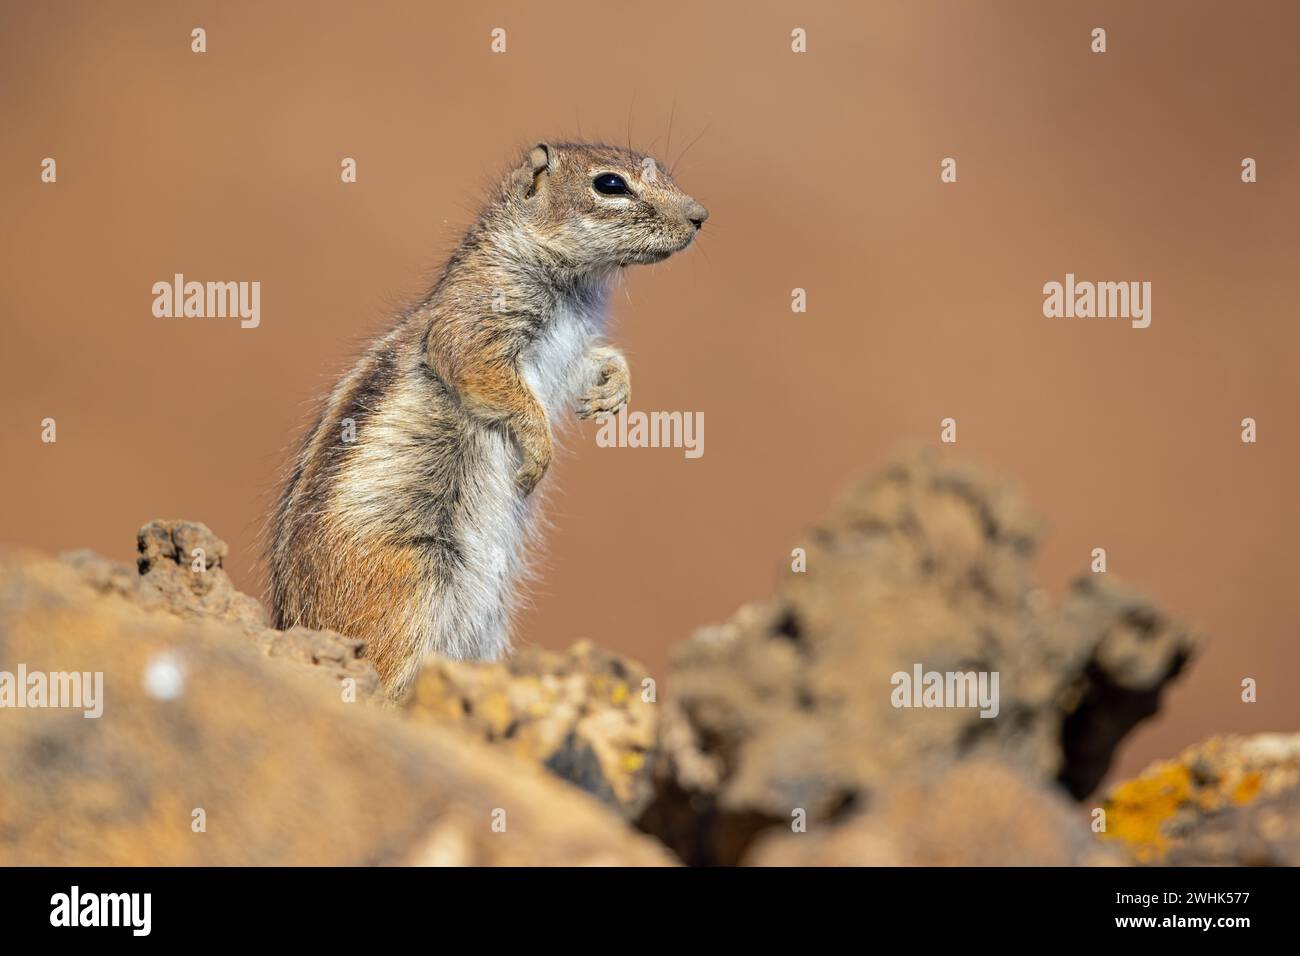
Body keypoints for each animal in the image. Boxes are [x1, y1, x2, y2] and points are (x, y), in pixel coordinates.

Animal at [267, 140, 707, 697]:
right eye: (610, 184)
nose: (700, 216)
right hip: (409, 588)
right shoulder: (478, 323)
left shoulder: (573, 352)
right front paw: (539, 452)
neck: (573, 285)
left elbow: (596, 363)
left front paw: (614, 392)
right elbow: (493, 381)